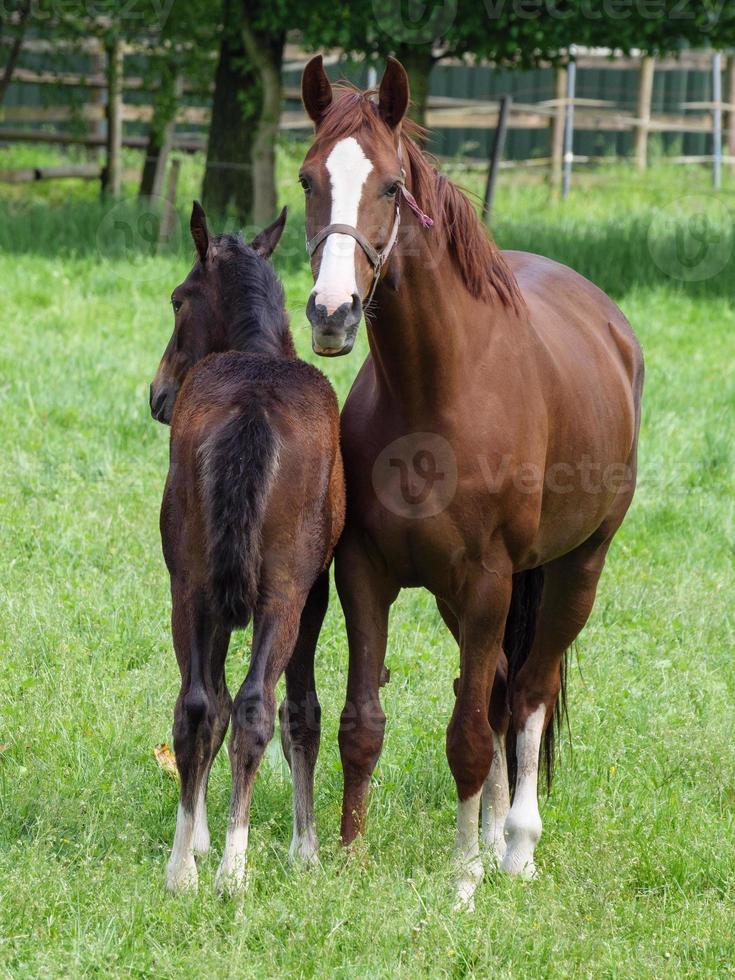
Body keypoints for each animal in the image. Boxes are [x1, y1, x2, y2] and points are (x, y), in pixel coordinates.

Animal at [152, 203, 344, 892]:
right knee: (249, 707)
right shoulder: (311, 594)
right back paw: (230, 868)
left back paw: (188, 864)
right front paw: (302, 847)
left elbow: (215, 702)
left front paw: (204, 839)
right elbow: (294, 709)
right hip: (280, 597)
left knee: (201, 705)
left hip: (195, 588)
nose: (158, 395)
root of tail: (253, 408)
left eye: (177, 300)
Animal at [300, 57, 644, 908]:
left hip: (573, 570)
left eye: (390, 185)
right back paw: (489, 838)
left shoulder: (488, 578)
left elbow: (465, 734)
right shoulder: (366, 573)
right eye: (307, 179)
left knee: (525, 692)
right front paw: (352, 859)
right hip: (468, 600)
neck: (436, 395)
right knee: (493, 688)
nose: (331, 313)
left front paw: (460, 884)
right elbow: (364, 721)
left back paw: (514, 847)